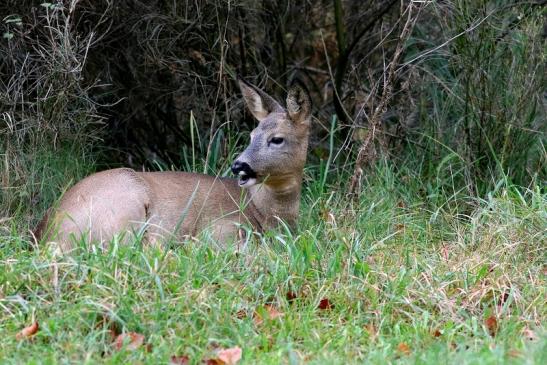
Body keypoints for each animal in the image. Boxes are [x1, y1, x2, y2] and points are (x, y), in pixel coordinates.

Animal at [35, 78, 312, 252]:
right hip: (124, 207)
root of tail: (47, 234)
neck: (265, 213)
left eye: (277, 139)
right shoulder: (220, 227)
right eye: (252, 135)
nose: (238, 165)